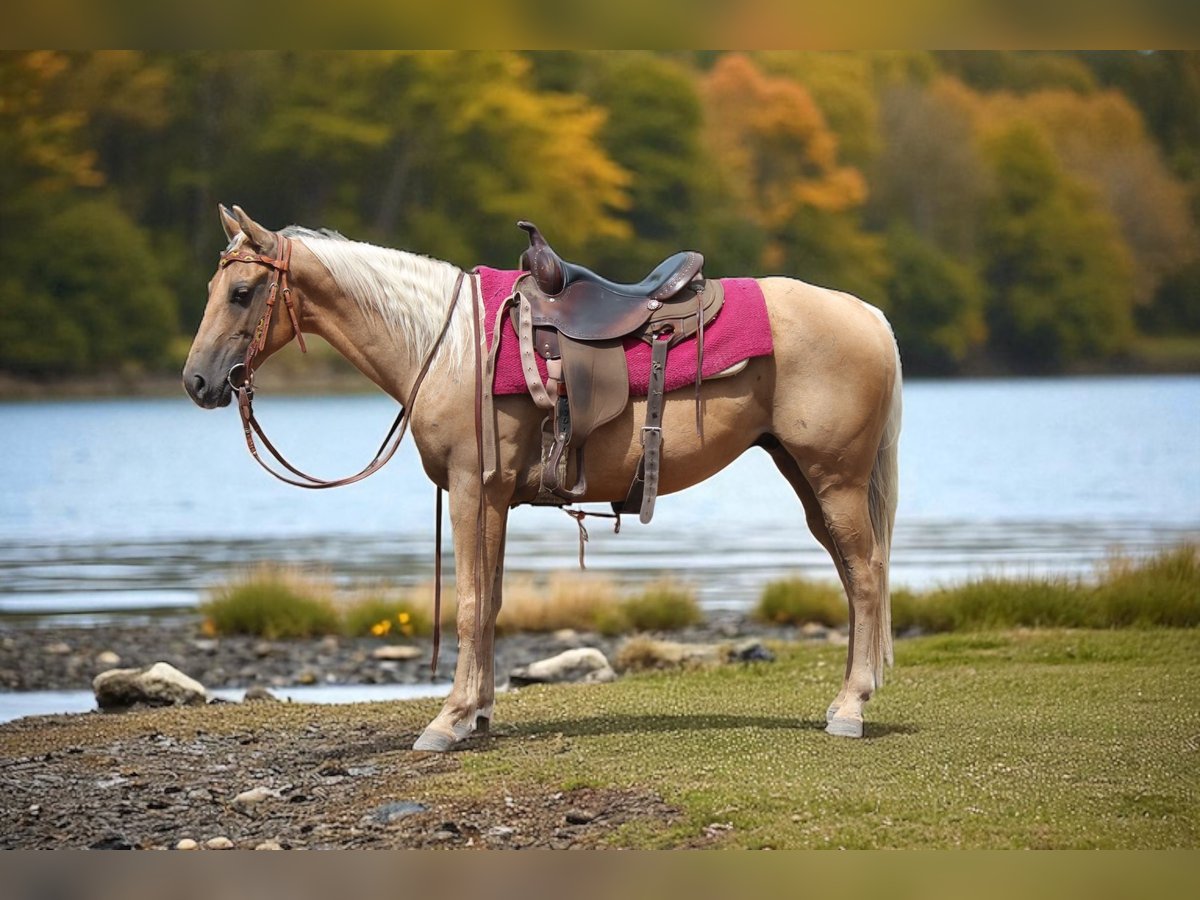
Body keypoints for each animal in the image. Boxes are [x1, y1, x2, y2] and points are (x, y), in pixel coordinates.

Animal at [183, 205, 903, 751]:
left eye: (242, 293)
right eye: (214, 290)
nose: (196, 382)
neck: (449, 347)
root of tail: (867, 315)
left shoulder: (472, 489)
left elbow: (470, 604)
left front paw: (446, 722)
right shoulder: (494, 498)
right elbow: (492, 602)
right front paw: (476, 713)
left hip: (834, 477)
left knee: (867, 577)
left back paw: (850, 709)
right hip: (806, 476)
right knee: (853, 577)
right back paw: (847, 696)